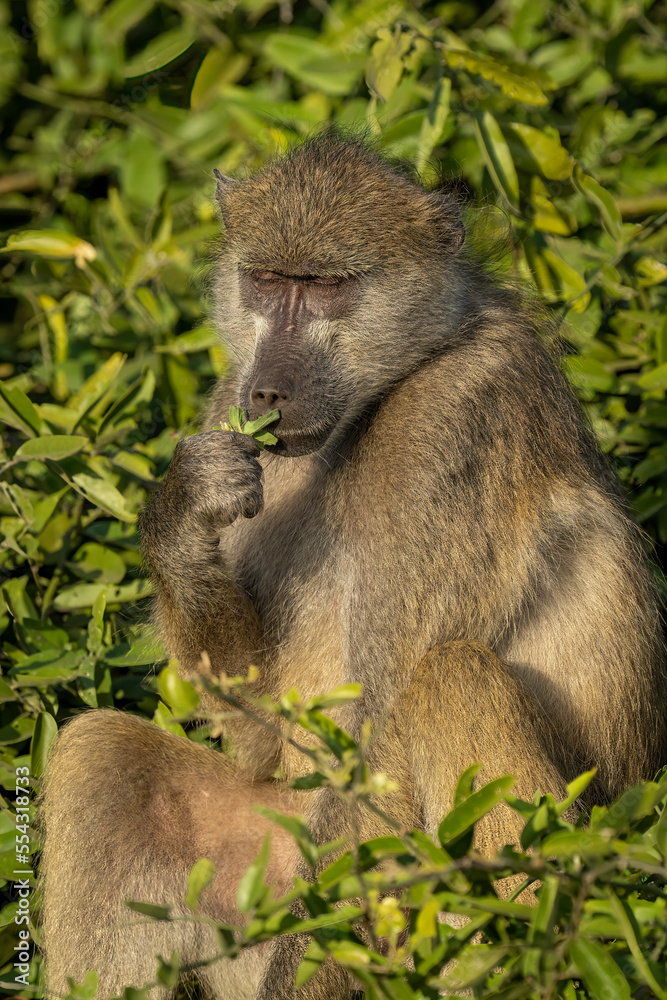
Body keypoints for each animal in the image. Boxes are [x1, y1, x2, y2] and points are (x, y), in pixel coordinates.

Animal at [41, 133, 667, 1000]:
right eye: (267, 280)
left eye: (326, 288)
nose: (267, 392)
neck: (391, 383)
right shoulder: (225, 403)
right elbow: (254, 721)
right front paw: (182, 508)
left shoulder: (457, 421)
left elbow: (374, 732)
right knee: (103, 754)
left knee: (449, 675)